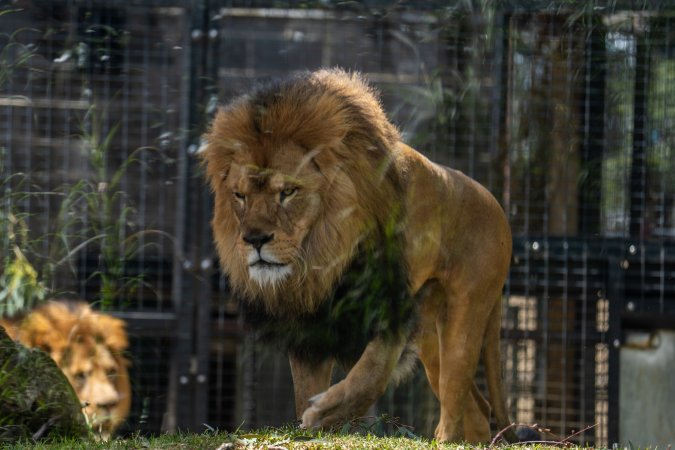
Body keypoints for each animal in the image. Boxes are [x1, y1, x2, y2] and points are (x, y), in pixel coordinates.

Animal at [200, 68, 518, 443]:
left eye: (288, 192)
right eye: (240, 196)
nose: (254, 239)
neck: (322, 257)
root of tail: (495, 202)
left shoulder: (393, 303)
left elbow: (371, 373)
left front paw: (327, 413)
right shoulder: (311, 324)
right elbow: (304, 389)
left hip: (464, 317)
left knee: (455, 398)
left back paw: (444, 439)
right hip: (431, 338)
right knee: (477, 409)